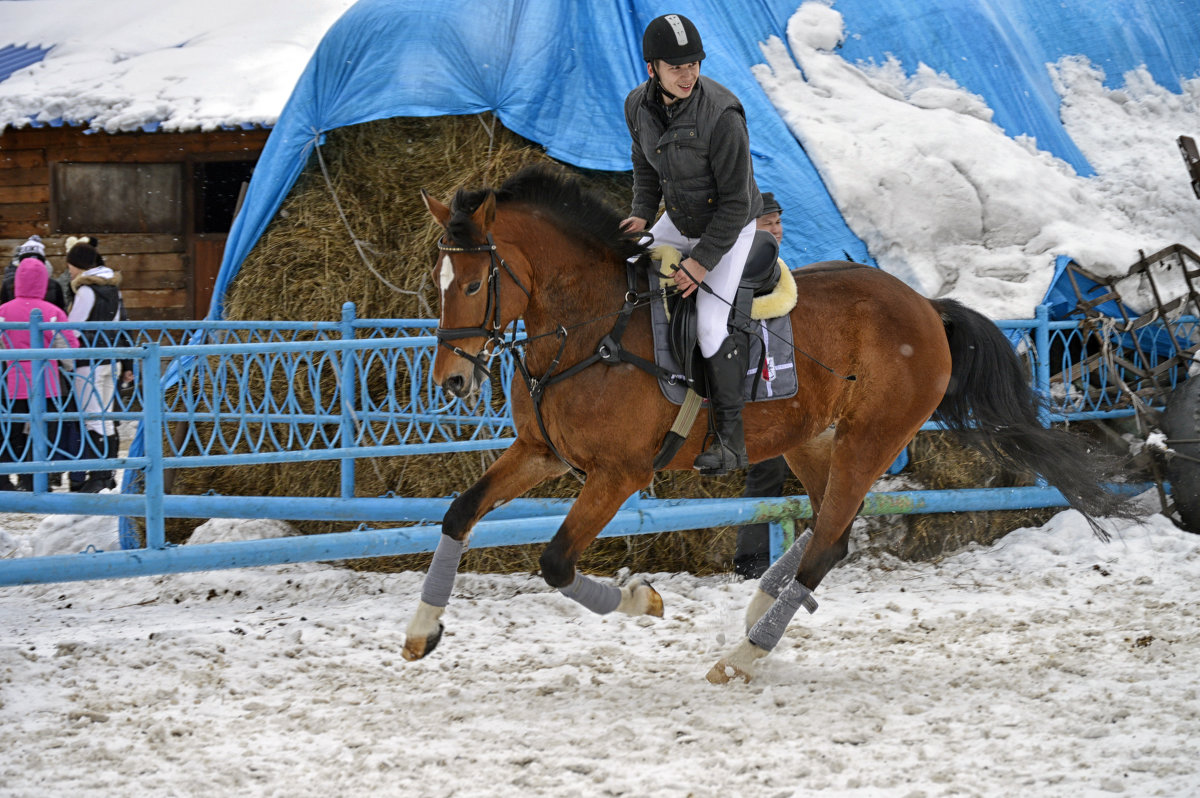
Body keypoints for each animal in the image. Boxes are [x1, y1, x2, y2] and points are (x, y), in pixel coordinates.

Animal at [400, 163, 1123, 686]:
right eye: (438, 280)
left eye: (473, 285)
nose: (453, 382)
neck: (589, 329)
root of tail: (923, 303)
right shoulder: (539, 451)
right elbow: (459, 512)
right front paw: (422, 629)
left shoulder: (618, 475)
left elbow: (554, 562)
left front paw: (643, 600)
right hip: (813, 439)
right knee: (829, 529)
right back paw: (762, 608)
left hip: (870, 440)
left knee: (828, 542)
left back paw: (744, 653)